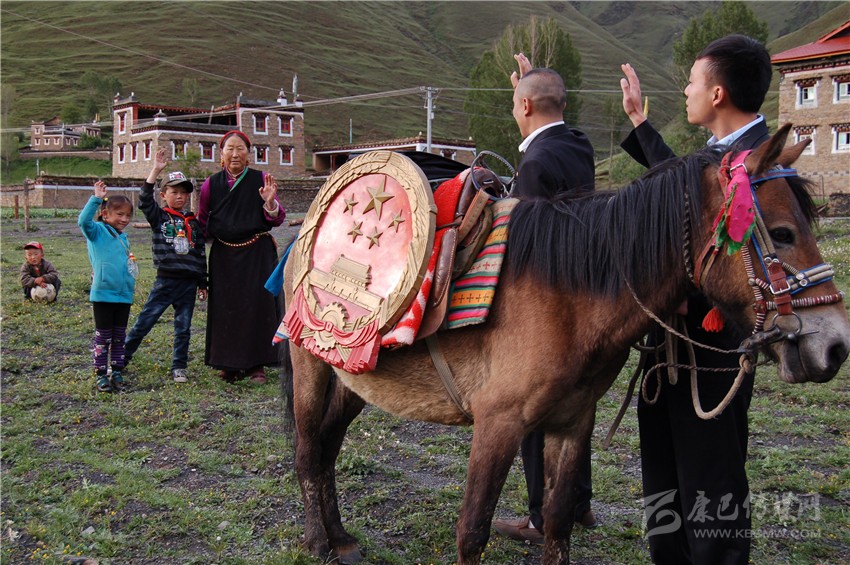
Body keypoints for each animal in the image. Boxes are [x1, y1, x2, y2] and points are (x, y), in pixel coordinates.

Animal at [281, 124, 850, 565]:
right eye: (781, 233)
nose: (836, 346)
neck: (570, 296)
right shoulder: (498, 423)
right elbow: (472, 531)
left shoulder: (573, 421)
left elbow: (556, 523)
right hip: (312, 363)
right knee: (309, 450)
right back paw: (318, 541)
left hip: (354, 376)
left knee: (328, 447)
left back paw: (340, 536)